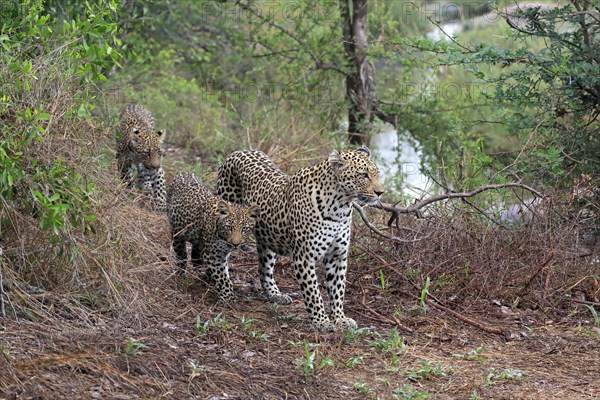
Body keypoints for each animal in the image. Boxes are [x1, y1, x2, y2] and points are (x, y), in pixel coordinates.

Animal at [217, 147, 384, 332]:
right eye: (364, 175)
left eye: (377, 174)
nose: (380, 193)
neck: (341, 207)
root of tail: (240, 151)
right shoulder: (304, 257)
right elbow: (313, 293)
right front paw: (321, 321)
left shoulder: (337, 255)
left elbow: (338, 289)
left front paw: (340, 318)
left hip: (268, 239)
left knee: (264, 268)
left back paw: (276, 295)